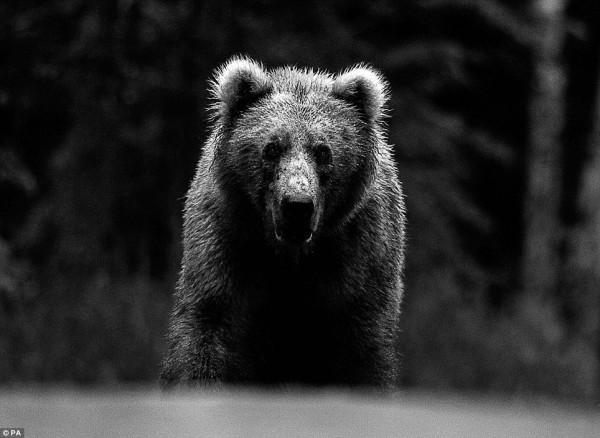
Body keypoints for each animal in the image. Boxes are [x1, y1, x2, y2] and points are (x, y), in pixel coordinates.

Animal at [159, 56, 406, 388]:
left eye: (323, 151)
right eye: (272, 148)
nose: (297, 206)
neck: (290, 256)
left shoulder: (357, 255)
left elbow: (361, 354)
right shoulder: (230, 242)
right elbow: (208, 334)